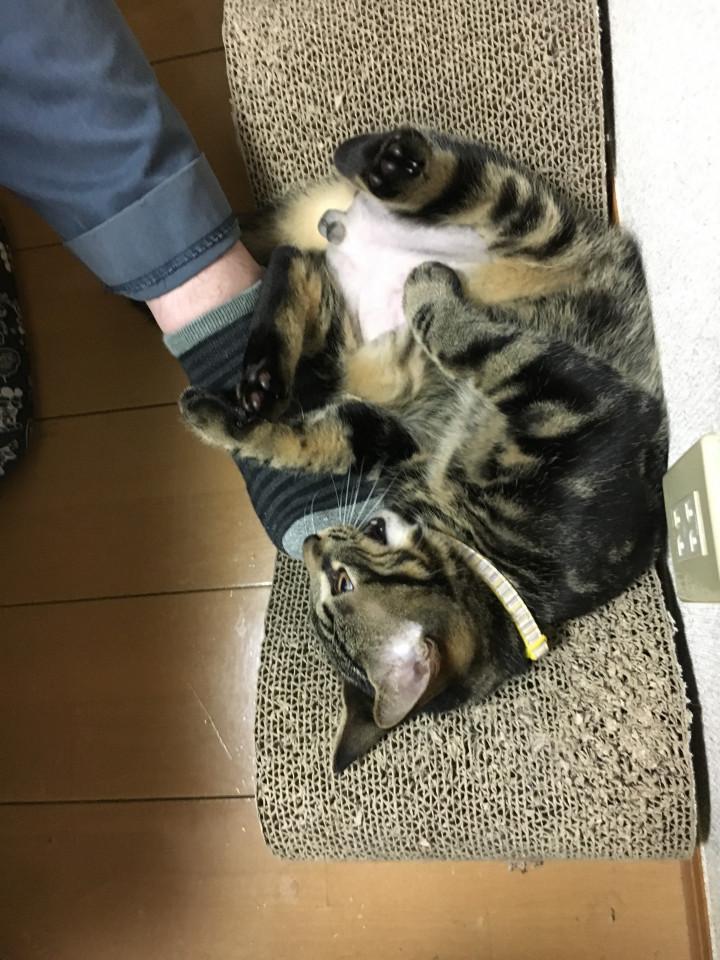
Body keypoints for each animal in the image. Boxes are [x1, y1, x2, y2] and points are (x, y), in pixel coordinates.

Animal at [180, 127, 668, 772]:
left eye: (340, 585)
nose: (314, 543)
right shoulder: (389, 436)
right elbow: (300, 439)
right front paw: (214, 418)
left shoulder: (585, 407)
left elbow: (466, 339)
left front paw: (427, 291)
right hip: (357, 347)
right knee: (296, 263)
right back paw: (262, 376)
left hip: (526, 226)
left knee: (355, 228)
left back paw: (389, 167)